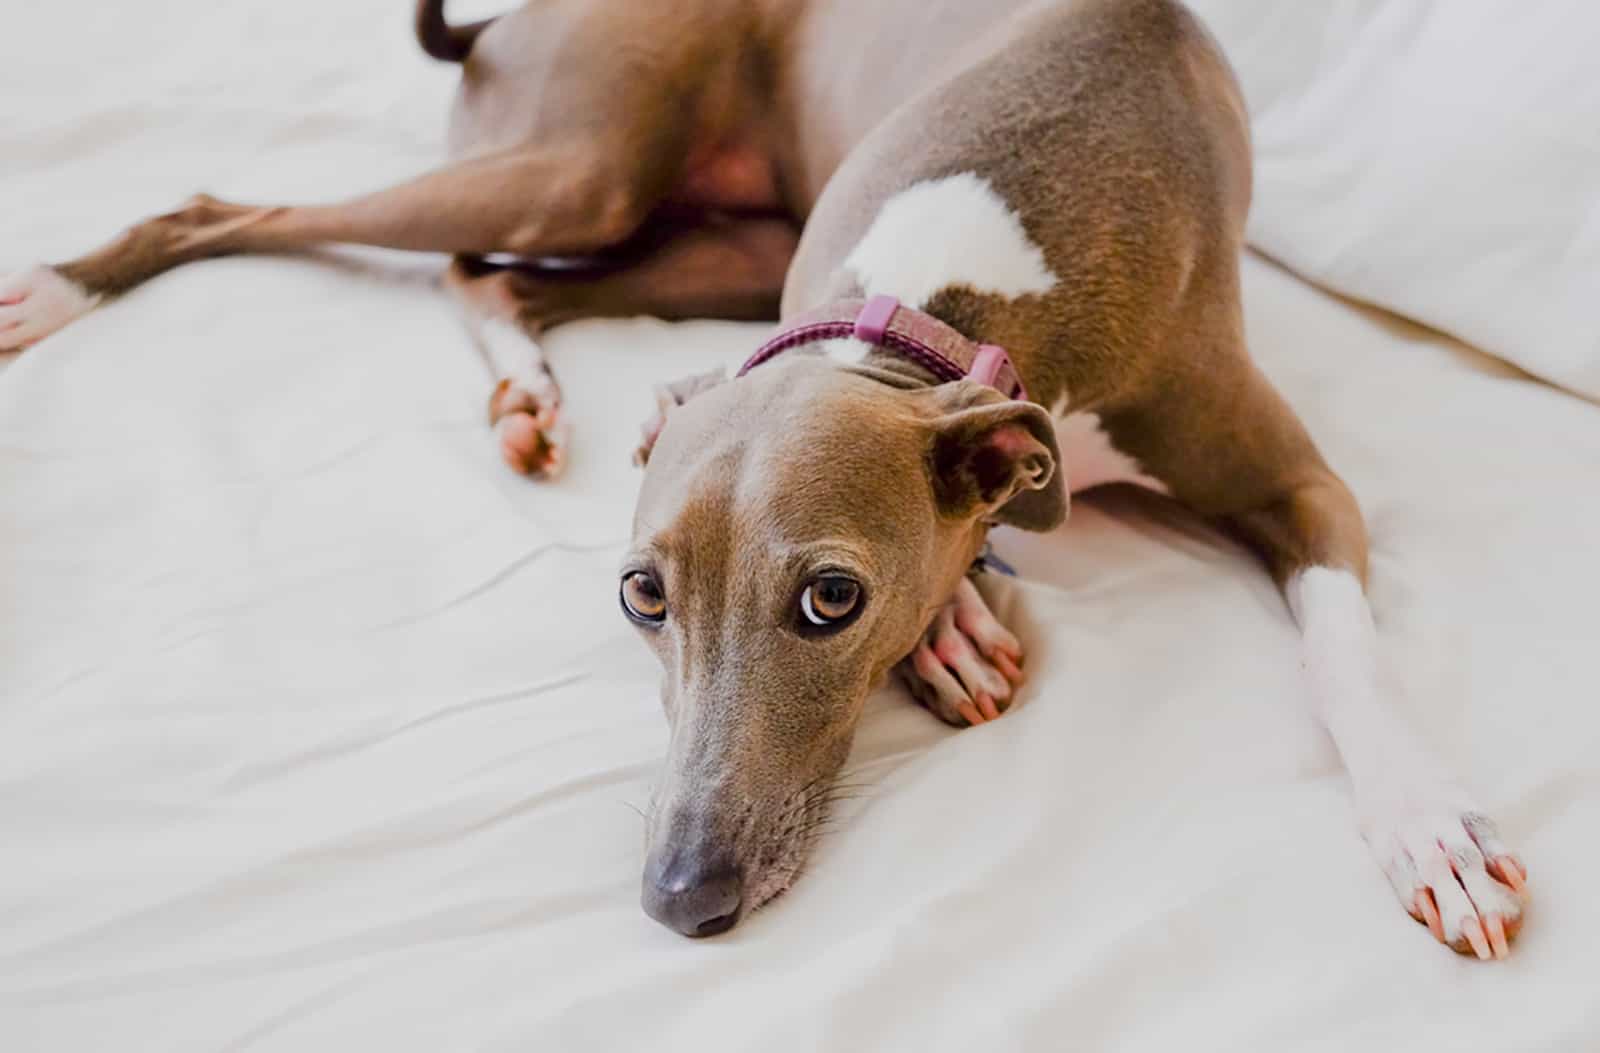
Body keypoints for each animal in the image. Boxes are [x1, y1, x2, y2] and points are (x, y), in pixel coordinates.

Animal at [0, 0, 1523, 953]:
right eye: (641, 597)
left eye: (830, 599)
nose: (680, 899)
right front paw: (959, 622)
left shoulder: (1302, 485)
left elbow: (1344, 652)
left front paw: (1427, 827)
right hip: (584, 166)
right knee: (263, 215)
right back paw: (70, 287)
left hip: (698, 232)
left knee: (482, 274)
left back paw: (520, 380)